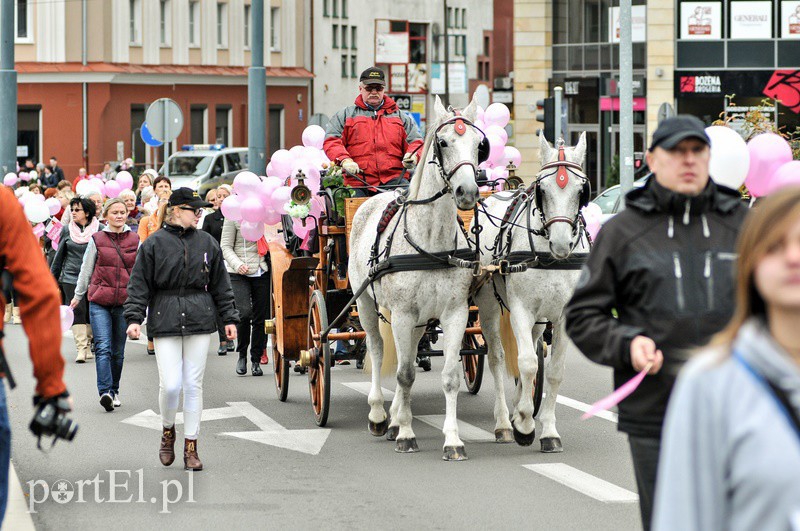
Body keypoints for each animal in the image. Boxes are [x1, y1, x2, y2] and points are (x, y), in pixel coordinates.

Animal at [350, 95, 482, 462]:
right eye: (443, 142)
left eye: (479, 145)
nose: (468, 192)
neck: (431, 243)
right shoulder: (403, 313)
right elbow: (405, 373)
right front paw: (406, 434)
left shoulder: (454, 313)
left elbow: (449, 377)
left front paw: (452, 440)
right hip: (367, 305)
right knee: (377, 348)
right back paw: (379, 414)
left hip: (420, 319)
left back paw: (395, 416)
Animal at [472, 131, 592, 450]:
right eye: (543, 189)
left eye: (581, 190)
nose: (561, 244)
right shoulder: (521, 310)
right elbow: (525, 364)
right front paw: (525, 424)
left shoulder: (563, 317)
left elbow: (553, 371)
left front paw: (548, 430)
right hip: (489, 306)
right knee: (498, 358)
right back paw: (505, 422)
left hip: (539, 319)